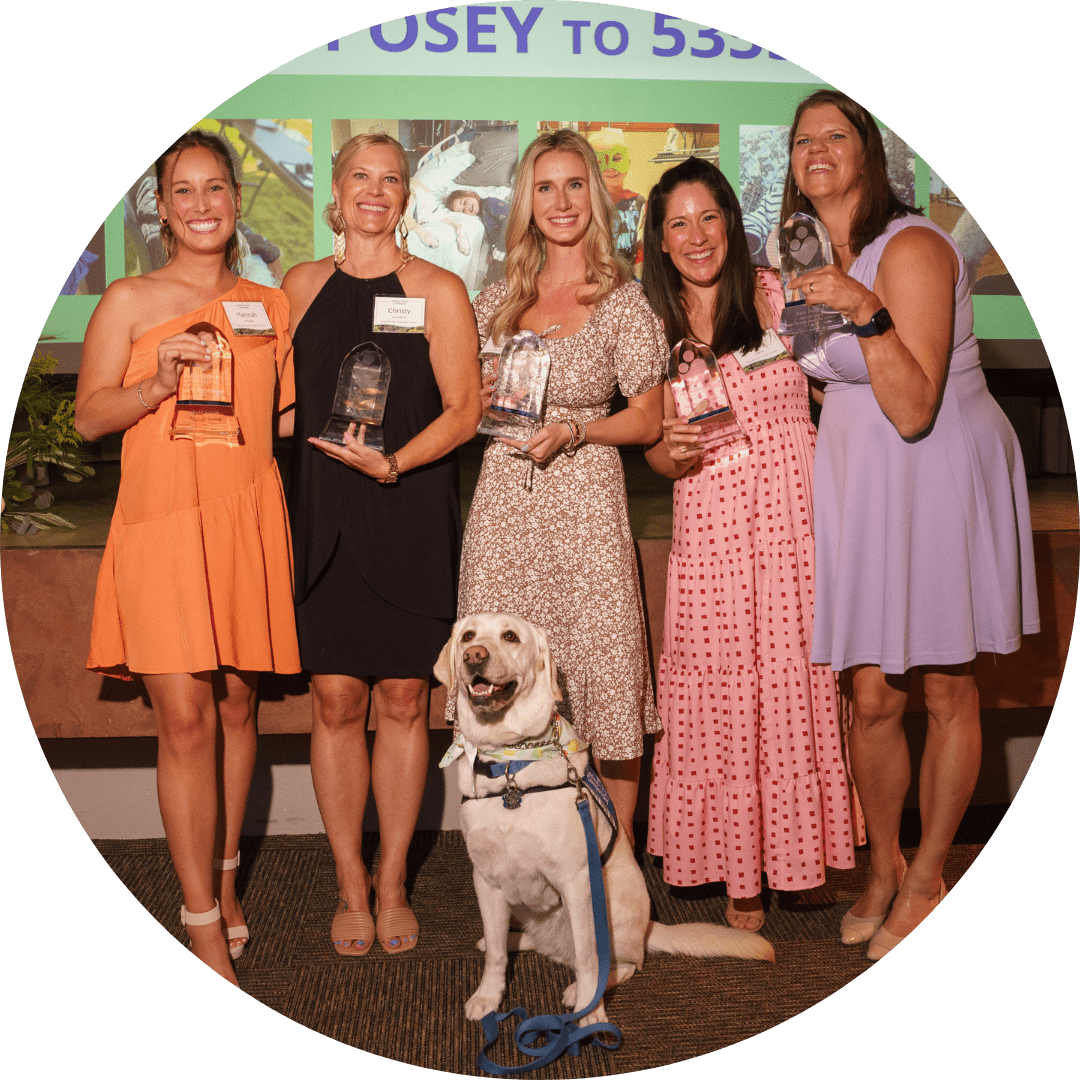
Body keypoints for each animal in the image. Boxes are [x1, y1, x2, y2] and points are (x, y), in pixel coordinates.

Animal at [435, 612, 774, 1027]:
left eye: (510, 636)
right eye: (468, 636)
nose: (474, 656)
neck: (511, 764)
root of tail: (648, 928)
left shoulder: (576, 881)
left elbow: (587, 959)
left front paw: (591, 1011)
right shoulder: (486, 880)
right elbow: (497, 953)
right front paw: (488, 996)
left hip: (613, 909)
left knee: (622, 962)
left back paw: (586, 990)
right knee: (526, 941)